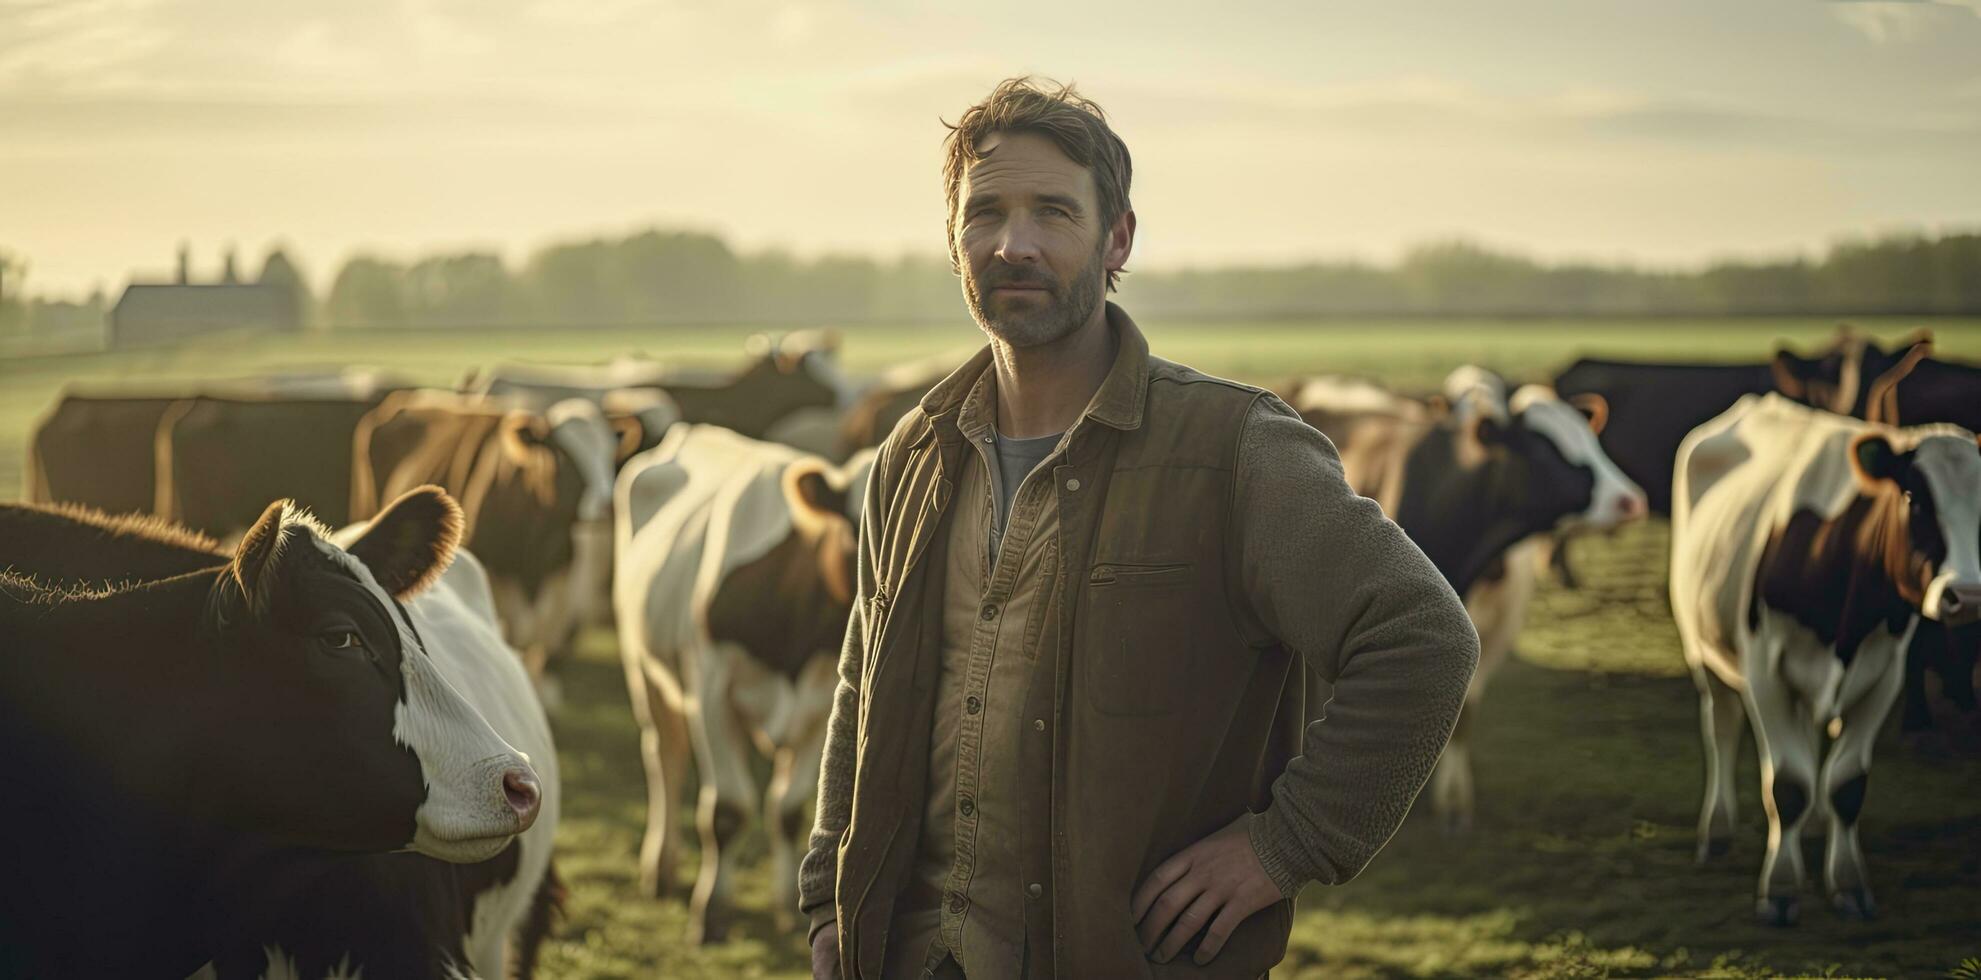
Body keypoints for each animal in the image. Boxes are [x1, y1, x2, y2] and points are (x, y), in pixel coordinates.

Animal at [610, 421, 875, 942]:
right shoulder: (711, 693)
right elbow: (727, 811)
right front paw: (711, 914)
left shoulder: (822, 706)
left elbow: (790, 811)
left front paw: (789, 907)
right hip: (642, 664)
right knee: (665, 758)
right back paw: (660, 871)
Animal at [1283, 372, 1640, 831]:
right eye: (1545, 450)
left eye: (1589, 437)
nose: (1631, 500)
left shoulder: (1482, 632)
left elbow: (1463, 714)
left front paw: (1455, 804)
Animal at [1671, 393, 1981, 926]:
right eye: (1913, 498)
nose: (1969, 595)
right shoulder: (1764, 673)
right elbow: (1787, 785)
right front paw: (1779, 889)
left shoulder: (1884, 676)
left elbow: (1846, 784)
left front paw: (1849, 883)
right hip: (1703, 647)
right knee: (1723, 728)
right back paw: (1718, 832)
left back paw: (1814, 825)